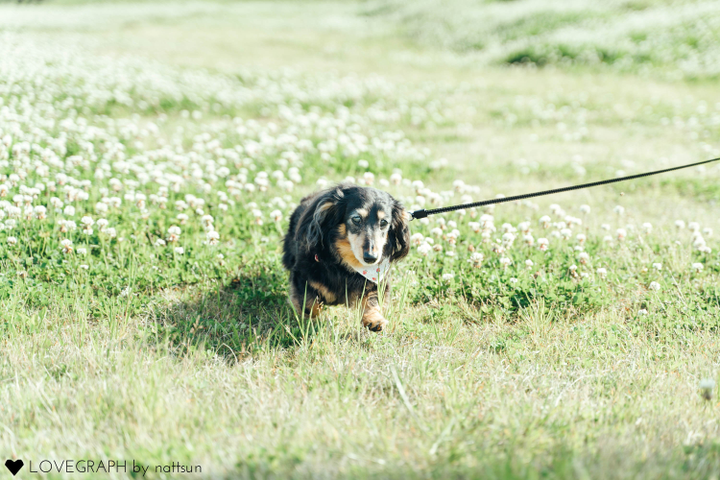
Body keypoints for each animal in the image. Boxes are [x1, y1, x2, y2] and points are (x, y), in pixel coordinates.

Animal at [282, 183, 410, 331]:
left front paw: (374, 319)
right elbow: (309, 304)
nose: (371, 258)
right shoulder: (302, 277)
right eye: (356, 219)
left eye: (383, 222)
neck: (346, 265)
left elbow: (371, 298)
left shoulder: (377, 280)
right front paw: (310, 322)